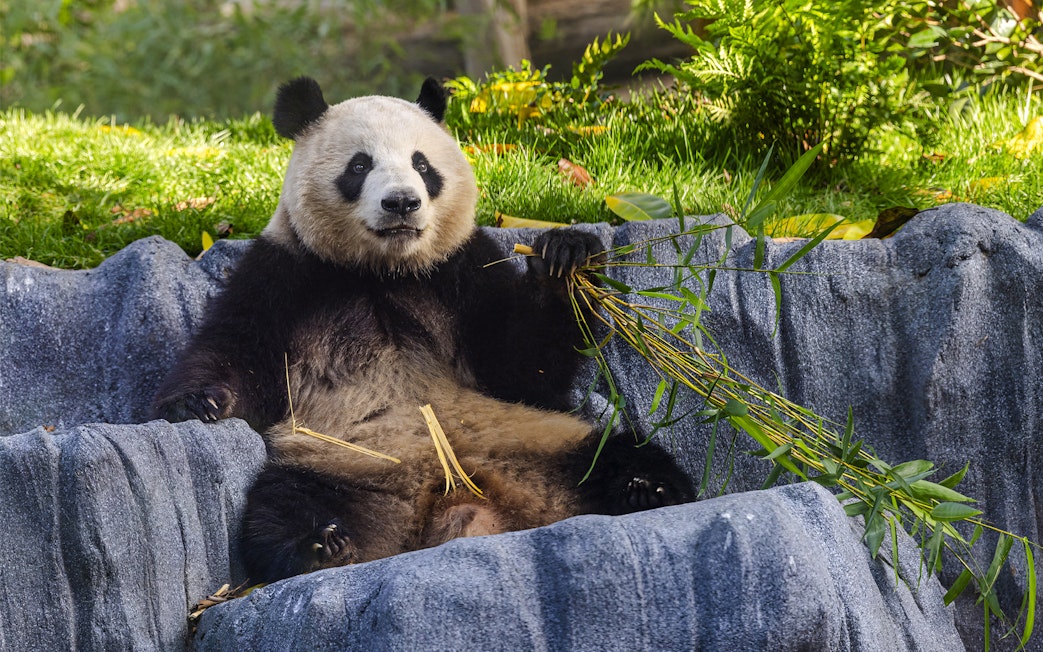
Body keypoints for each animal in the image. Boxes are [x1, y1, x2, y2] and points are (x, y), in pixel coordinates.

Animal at [152, 76, 694, 584]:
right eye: (359, 166)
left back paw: (647, 489)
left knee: (617, 453)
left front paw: (567, 257)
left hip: (538, 441)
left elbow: (519, 365)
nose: (401, 203)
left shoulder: (461, 268)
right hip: (340, 462)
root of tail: (451, 499)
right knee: (281, 508)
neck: (381, 271)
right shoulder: (287, 271)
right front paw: (197, 402)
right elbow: (237, 345)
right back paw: (321, 544)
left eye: (422, 166)